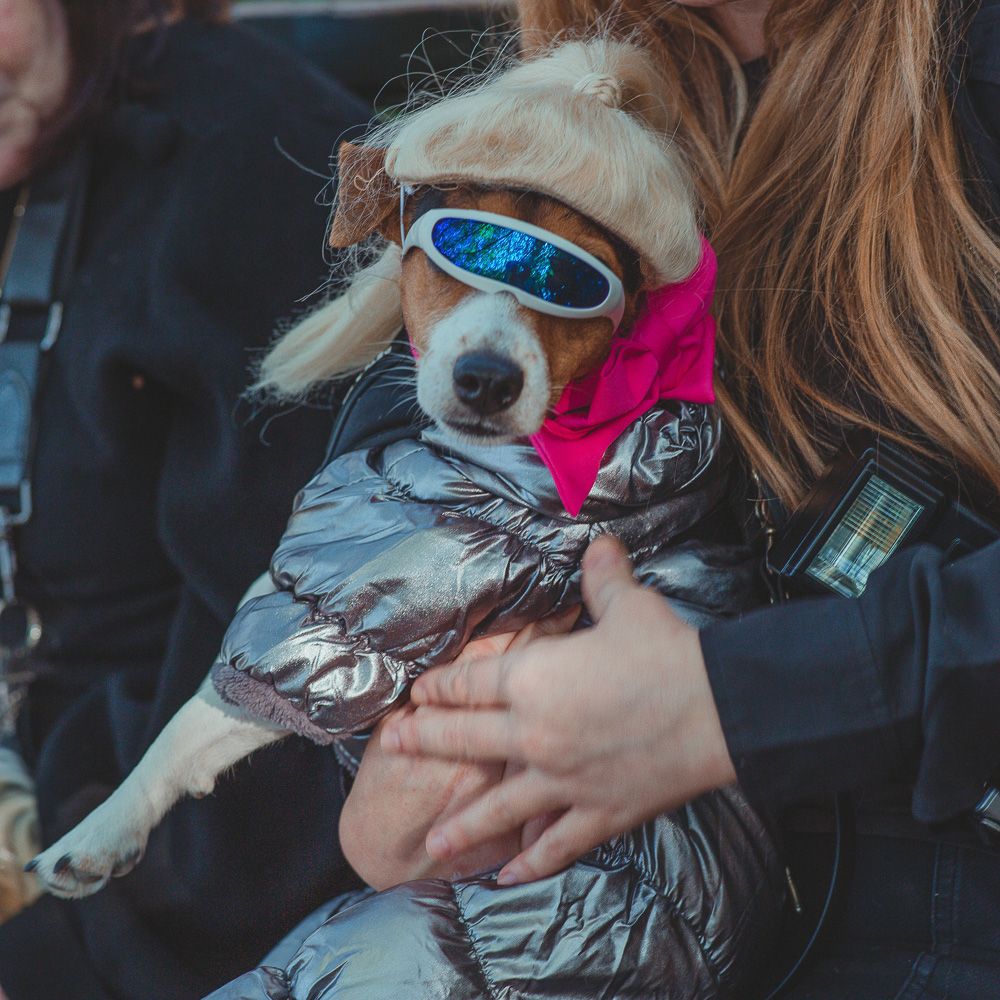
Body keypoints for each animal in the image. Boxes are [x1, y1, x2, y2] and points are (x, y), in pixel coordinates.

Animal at [29, 37, 780, 1000]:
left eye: (575, 285)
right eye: (455, 250)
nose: (488, 379)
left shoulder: (395, 595)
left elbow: (199, 717)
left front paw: (95, 831)